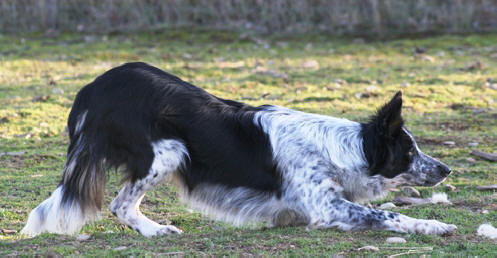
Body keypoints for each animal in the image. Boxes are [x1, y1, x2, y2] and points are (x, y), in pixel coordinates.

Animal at [24, 62, 458, 238]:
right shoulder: (328, 207)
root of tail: (92, 87)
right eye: (409, 152)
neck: (346, 149)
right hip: (168, 152)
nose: (446, 170)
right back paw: (156, 230)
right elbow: (390, 214)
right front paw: (433, 226)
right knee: (119, 205)